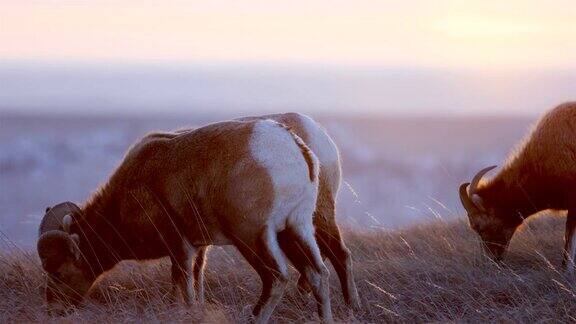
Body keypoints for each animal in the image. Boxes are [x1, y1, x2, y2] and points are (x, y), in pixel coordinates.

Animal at [37, 120, 332, 322]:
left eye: (59, 272)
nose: (53, 310)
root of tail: (294, 147)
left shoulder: (180, 249)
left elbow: (185, 288)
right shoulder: (196, 249)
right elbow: (192, 284)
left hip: (253, 237)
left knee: (276, 278)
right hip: (295, 230)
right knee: (318, 273)